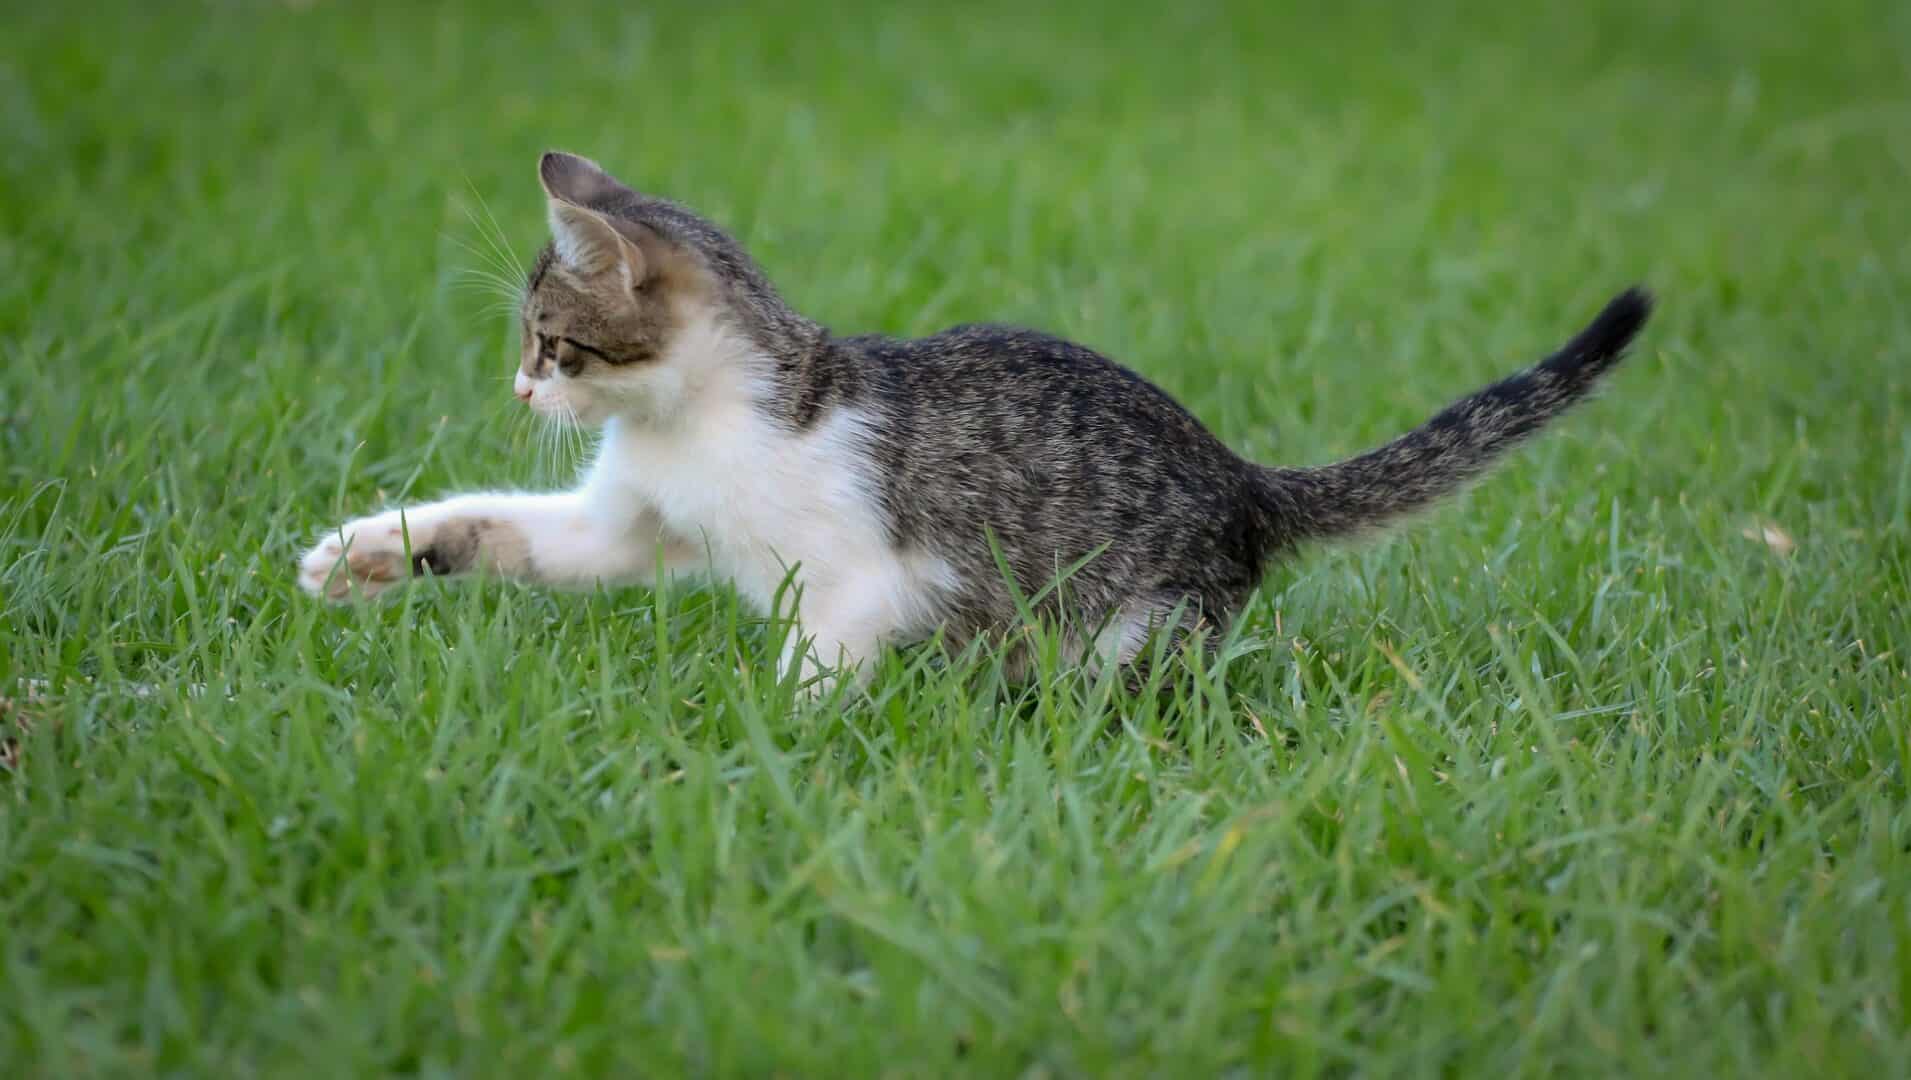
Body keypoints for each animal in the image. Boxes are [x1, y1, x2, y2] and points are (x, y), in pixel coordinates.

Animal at [294, 149, 1643, 691]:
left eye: (546, 340)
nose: (520, 389)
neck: (694, 423)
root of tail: (1243, 476)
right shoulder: (626, 523)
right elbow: (513, 531)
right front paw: (371, 554)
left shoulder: (856, 579)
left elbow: (816, 664)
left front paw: (762, 748)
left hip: (1125, 623)